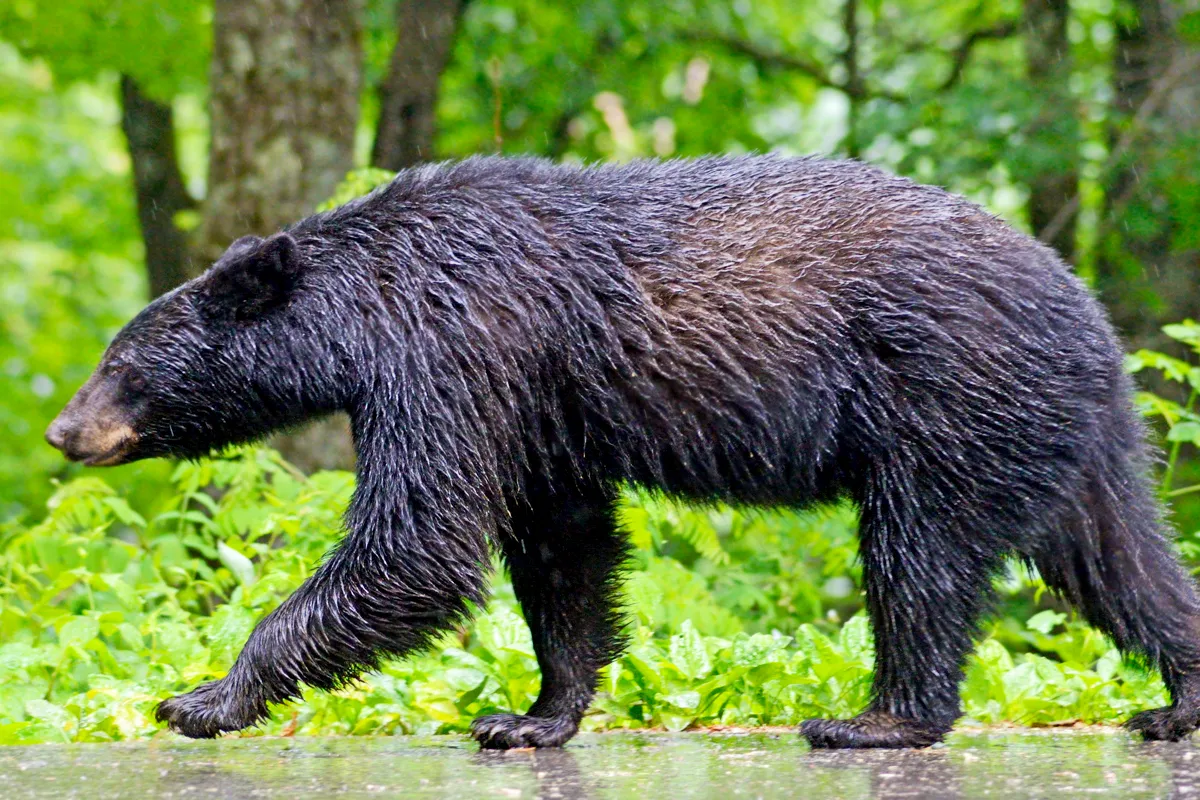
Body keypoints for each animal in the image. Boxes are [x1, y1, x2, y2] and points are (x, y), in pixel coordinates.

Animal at [45, 155, 1200, 749]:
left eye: (121, 362)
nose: (63, 428)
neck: (367, 307)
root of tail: (1092, 316)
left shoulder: (456, 349)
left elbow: (416, 541)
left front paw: (202, 697)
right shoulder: (538, 403)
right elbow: (561, 545)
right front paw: (533, 714)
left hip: (946, 398)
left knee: (920, 556)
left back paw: (876, 719)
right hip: (1060, 432)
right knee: (1120, 556)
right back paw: (1177, 696)